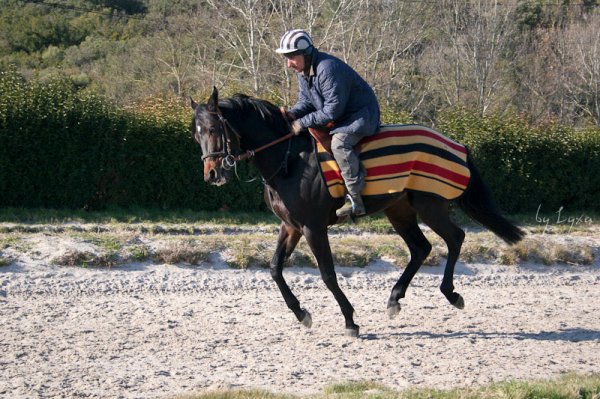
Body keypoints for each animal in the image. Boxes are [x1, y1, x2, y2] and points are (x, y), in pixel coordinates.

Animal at [192, 87, 524, 338]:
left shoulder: (313, 227)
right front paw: (301, 313)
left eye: (213, 129)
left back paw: (451, 293)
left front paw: (350, 320)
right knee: (421, 247)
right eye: (196, 136)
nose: (211, 174)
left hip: (429, 205)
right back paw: (394, 298)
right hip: (399, 210)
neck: (289, 160)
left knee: (455, 238)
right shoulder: (291, 226)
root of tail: (458, 144)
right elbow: (274, 269)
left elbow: (327, 274)